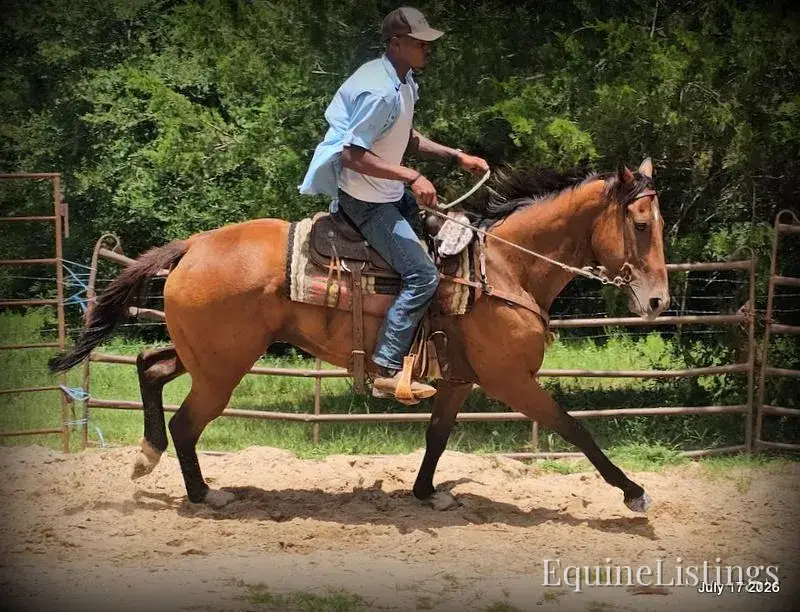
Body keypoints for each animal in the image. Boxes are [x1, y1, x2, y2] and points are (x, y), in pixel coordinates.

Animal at [50, 157, 669, 513]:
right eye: (641, 225)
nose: (659, 301)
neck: (502, 267)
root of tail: (193, 246)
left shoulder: (460, 381)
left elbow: (436, 437)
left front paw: (426, 493)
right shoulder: (511, 380)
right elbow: (574, 427)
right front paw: (633, 492)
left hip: (209, 355)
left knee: (149, 365)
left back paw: (146, 458)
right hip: (224, 368)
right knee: (185, 420)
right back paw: (203, 493)